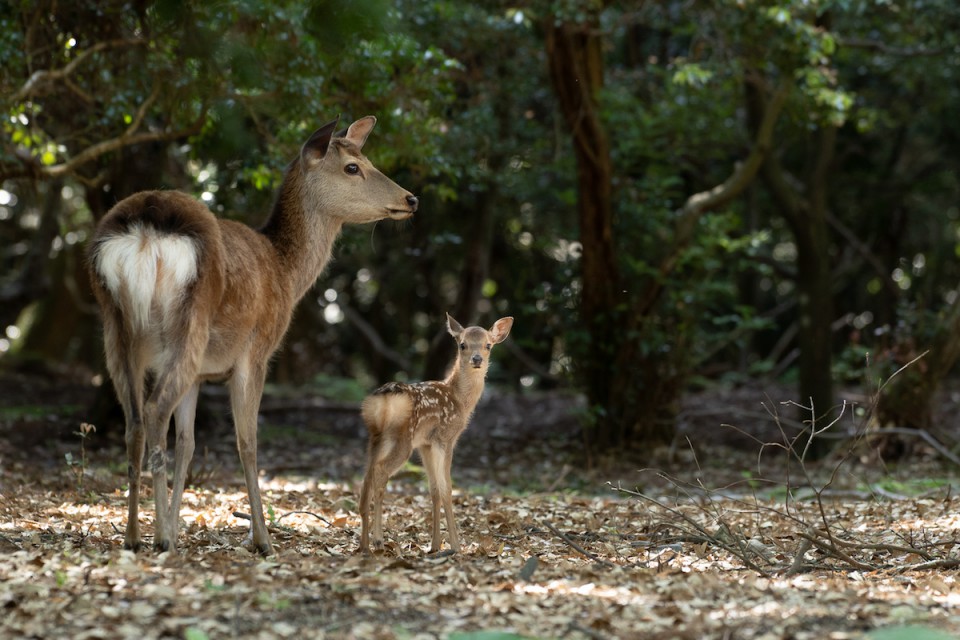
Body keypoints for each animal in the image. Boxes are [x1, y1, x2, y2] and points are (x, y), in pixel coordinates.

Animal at [90, 115, 416, 556]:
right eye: (353, 167)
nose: (411, 199)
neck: (285, 270)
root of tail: (144, 233)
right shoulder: (256, 352)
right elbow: (248, 441)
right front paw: (262, 540)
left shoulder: (201, 374)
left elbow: (188, 443)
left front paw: (175, 523)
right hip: (188, 324)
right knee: (156, 411)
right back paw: (160, 539)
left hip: (117, 326)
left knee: (135, 423)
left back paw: (134, 536)